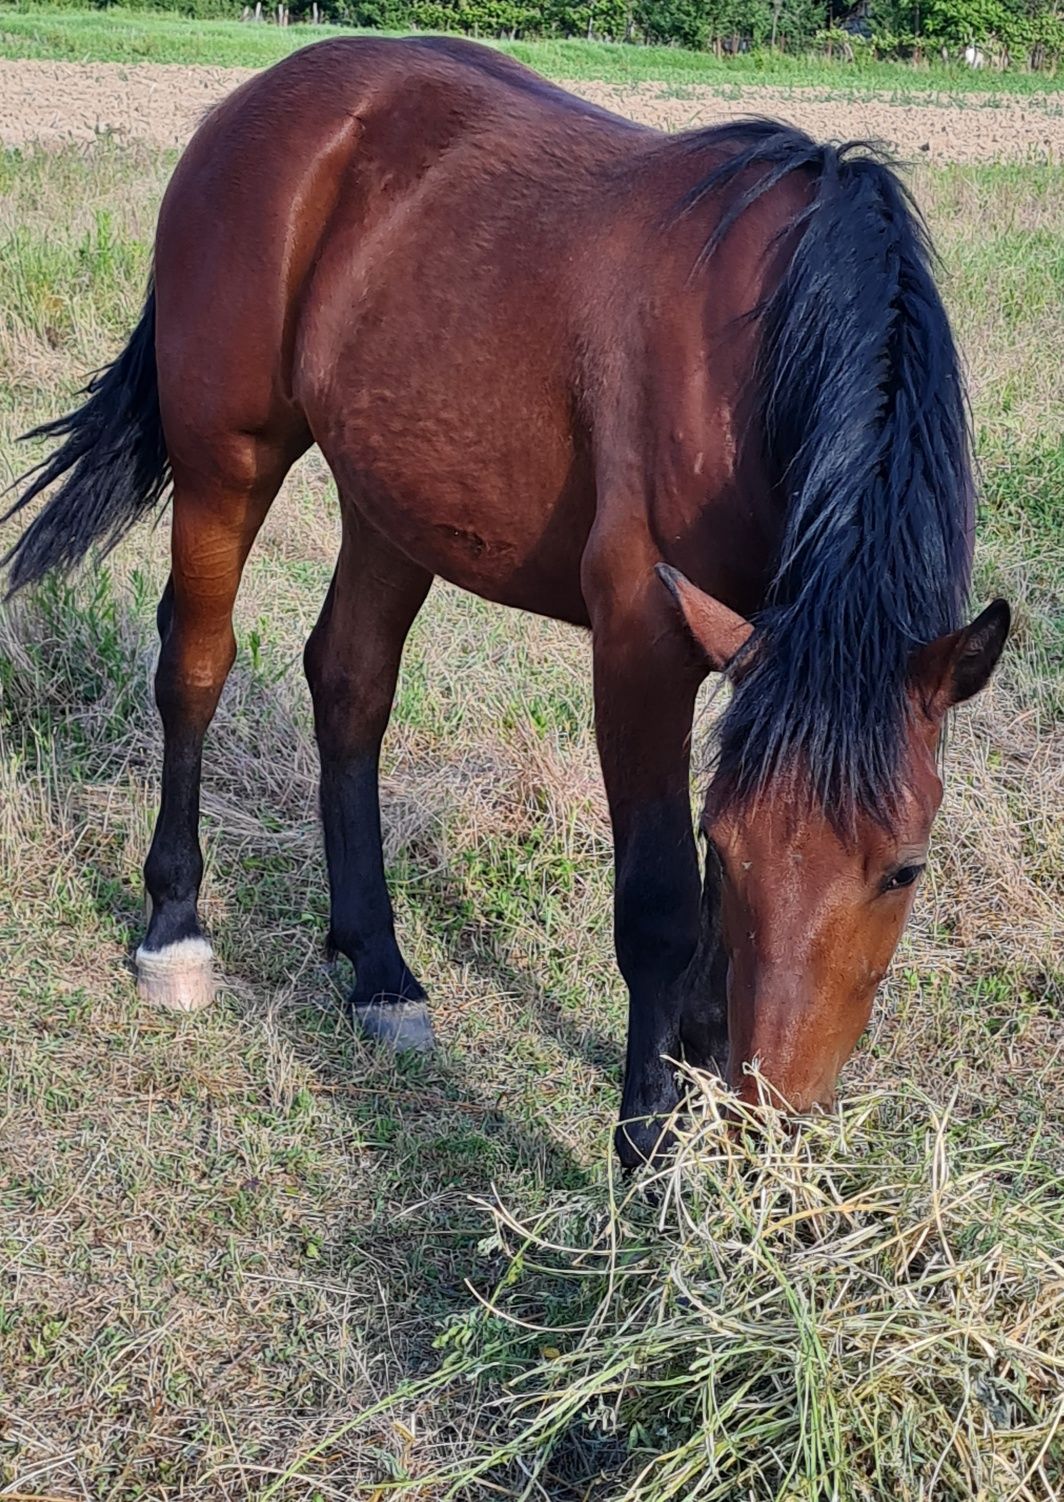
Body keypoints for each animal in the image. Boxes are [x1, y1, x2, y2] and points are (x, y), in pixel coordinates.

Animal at [4, 32, 1009, 1159]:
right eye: (731, 843)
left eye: (904, 868)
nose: (771, 1118)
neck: (765, 341)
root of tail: (260, 98)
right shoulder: (644, 632)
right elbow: (662, 904)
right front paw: (648, 1143)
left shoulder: (753, 652)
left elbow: (711, 915)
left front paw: (700, 1088)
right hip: (225, 456)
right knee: (197, 662)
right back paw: (175, 930)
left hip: (392, 498)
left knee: (348, 683)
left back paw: (380, 970)